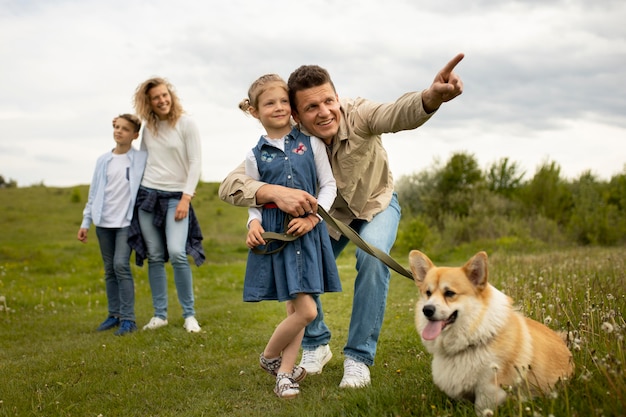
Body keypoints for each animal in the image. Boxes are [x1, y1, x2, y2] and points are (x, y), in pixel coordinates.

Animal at [408, 250, 572, 412]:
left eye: (449, 293)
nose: (427, 310)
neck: (475, 337)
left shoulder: (489, 389)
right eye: (428, 293)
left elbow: (482, 409)